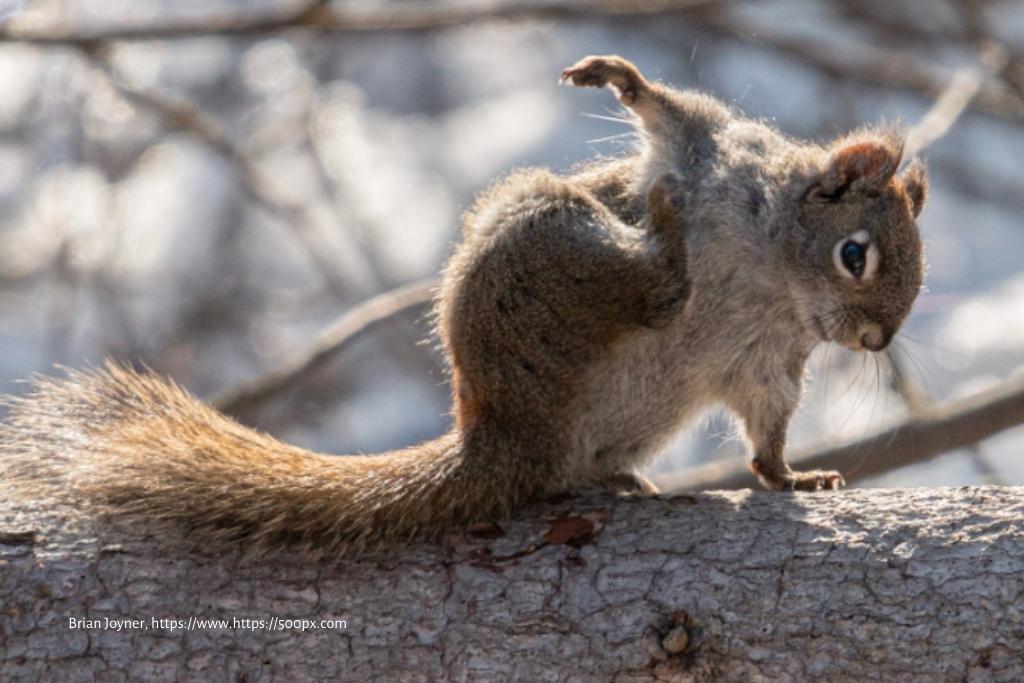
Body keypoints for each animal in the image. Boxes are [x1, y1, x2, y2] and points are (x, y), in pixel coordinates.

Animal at [0, 54, 929, 557]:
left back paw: (624, 474)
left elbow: (767, 431)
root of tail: (500, 432)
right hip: (541, 246)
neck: (773, 276)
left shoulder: (770, 362)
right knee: (648, 284)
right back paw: (663, 237)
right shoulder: (712, 151)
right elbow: (667, 114)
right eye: (856, 255)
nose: (876, 337)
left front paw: (792, 476)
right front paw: (618, 80)